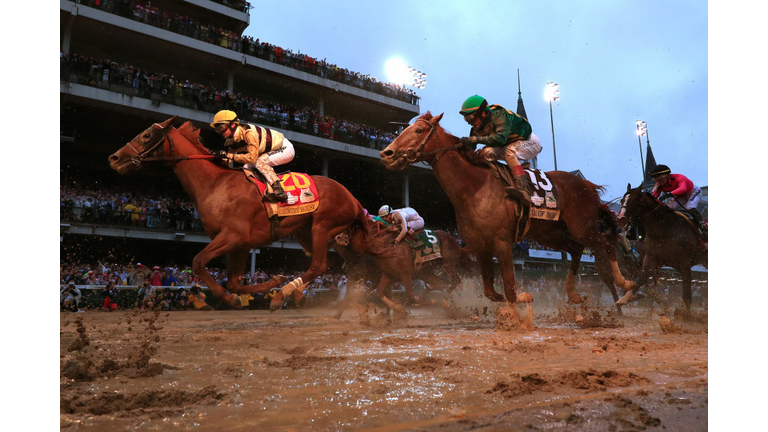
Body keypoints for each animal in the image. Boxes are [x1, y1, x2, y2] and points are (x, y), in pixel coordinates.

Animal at [107, 116, 366, 308]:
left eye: (146, 135)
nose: (114, 158)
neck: (215, 185)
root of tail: (353, 198)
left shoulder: (233, 236)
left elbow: (198, 262)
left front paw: (232, 298)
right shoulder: (239, 245)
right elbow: (233, 283)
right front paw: (271, 281)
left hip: (322, 227)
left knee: (320, 265)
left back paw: (283, 295)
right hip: (311, 233)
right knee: (339, 264)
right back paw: (298, 293)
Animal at [380, 111, 636, 314]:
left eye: (419, 130)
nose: (386, 153)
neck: (475, 188)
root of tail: (587, 186)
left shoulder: (502, 243)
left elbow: (509, 288)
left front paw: (517, 309)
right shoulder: (480, 247)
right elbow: (491, 291)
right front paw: (520, 297)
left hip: (582, 226)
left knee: (605, 244)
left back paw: (624, 285)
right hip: (549, 234)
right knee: (576, 249)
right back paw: (574, 294)